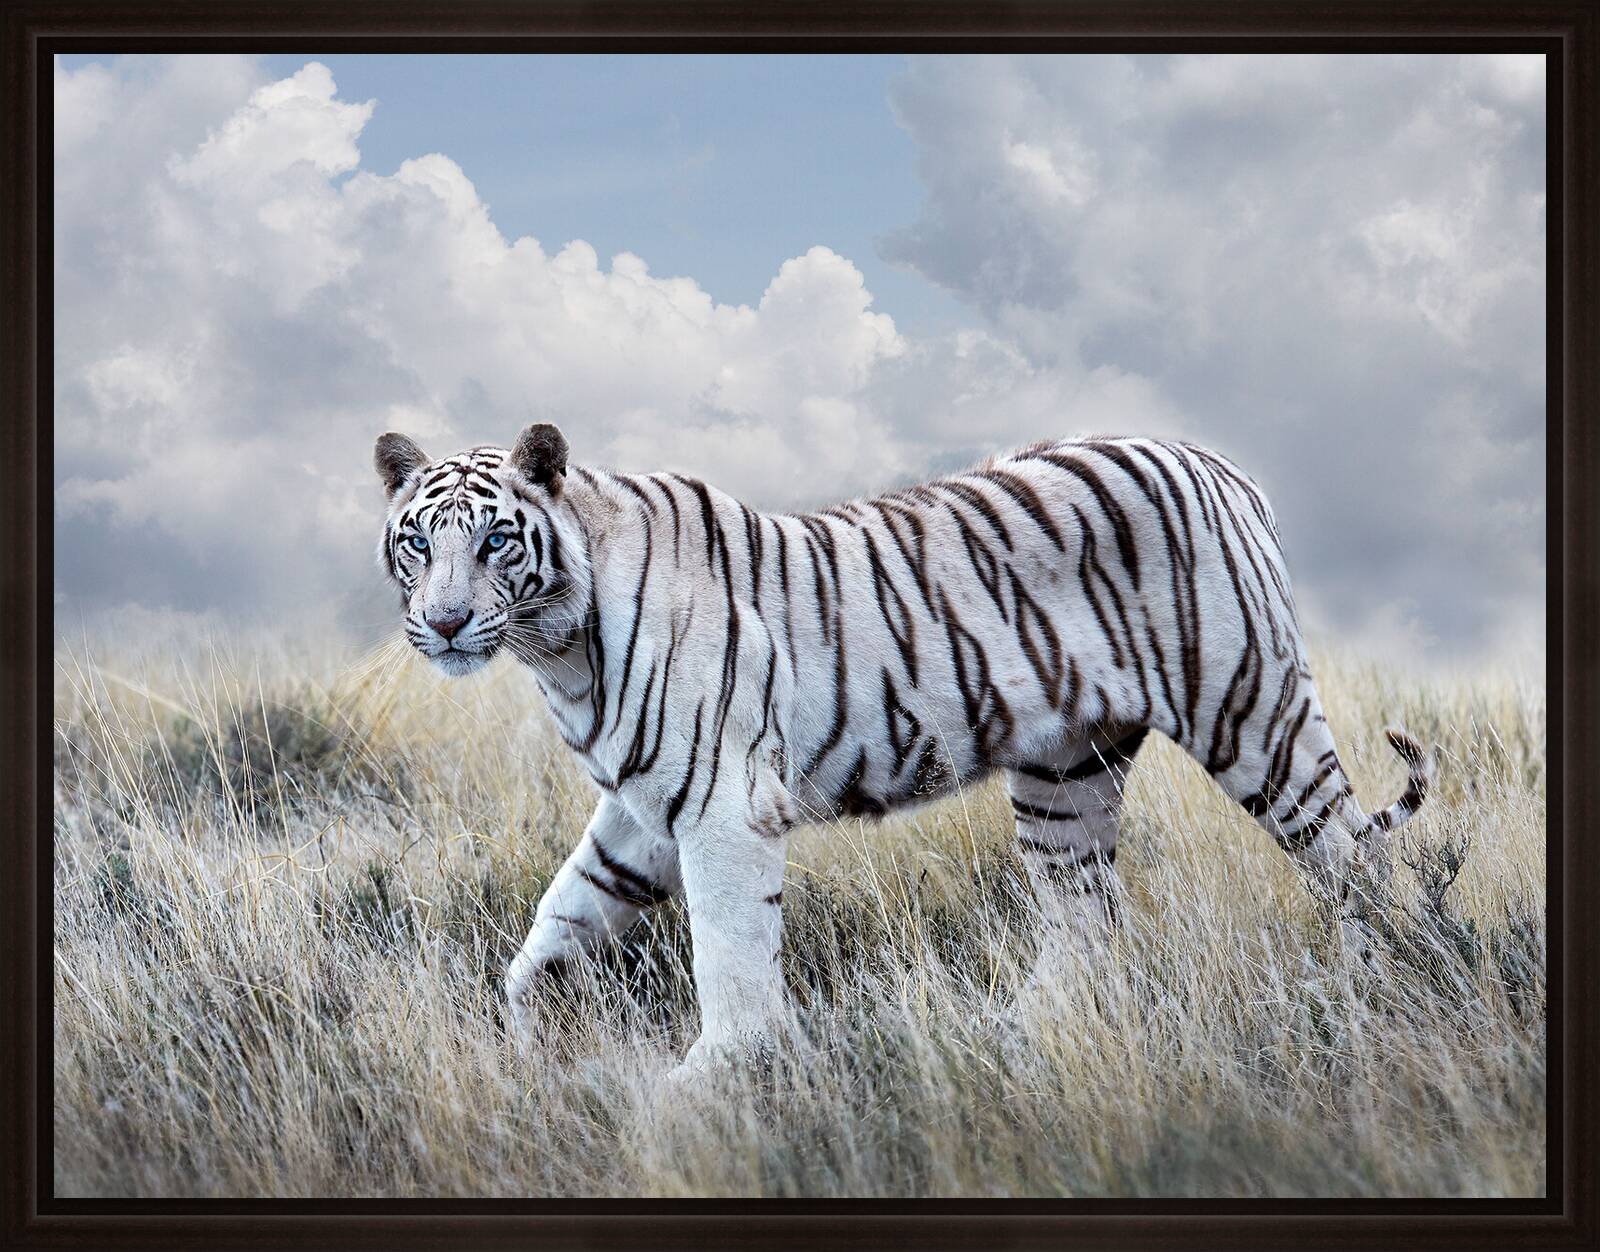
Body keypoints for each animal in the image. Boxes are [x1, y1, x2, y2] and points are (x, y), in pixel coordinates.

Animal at [374, 423, 1432, 1077]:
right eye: (418, 543)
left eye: (496, 542)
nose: (447, 623)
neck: (557, 649)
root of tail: (1218, 462)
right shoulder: (643, 811)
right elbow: (553, 930)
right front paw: (522, 1049)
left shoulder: (723, 804)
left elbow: (729, 952)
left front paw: (710, 1080)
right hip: (1064, 775)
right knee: (1086, 923)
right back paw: (1021, 1041)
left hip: (1249, 712)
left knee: (1356, 855)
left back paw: (1369, 996)